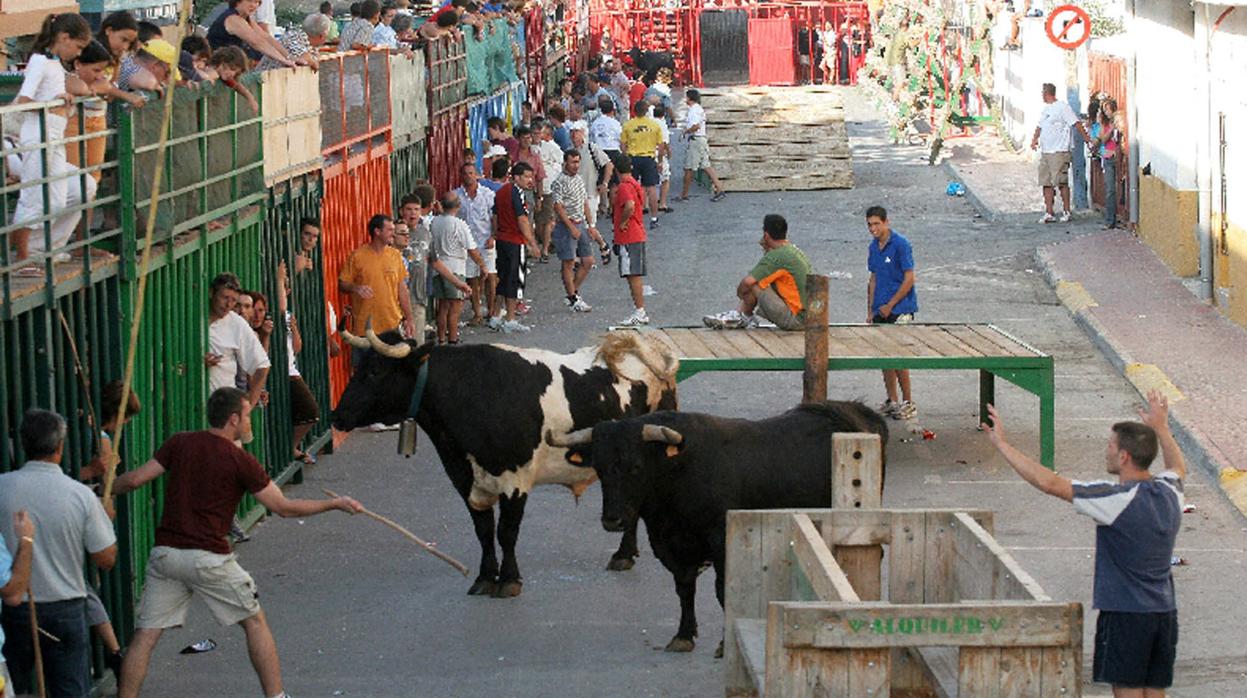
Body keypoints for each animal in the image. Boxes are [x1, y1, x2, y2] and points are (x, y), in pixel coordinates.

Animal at [331, 329, 678, 598]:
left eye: (375, 371)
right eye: (359, 367)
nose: (337, 415)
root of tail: (642, 342)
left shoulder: (516, 480)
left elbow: (506, 531)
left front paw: (509, 579)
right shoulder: (464, 479)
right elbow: (483, 530)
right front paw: (485, 577)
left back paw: (623, 554)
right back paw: (625, 555)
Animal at [548, 401, 887, 653]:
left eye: (636, 466)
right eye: (600, 467)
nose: (613, 520)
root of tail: (856, 412)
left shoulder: (721, 543)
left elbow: (722, 591)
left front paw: (724, 644)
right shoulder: (672, 546)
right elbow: (684, 588)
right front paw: (684, 635)